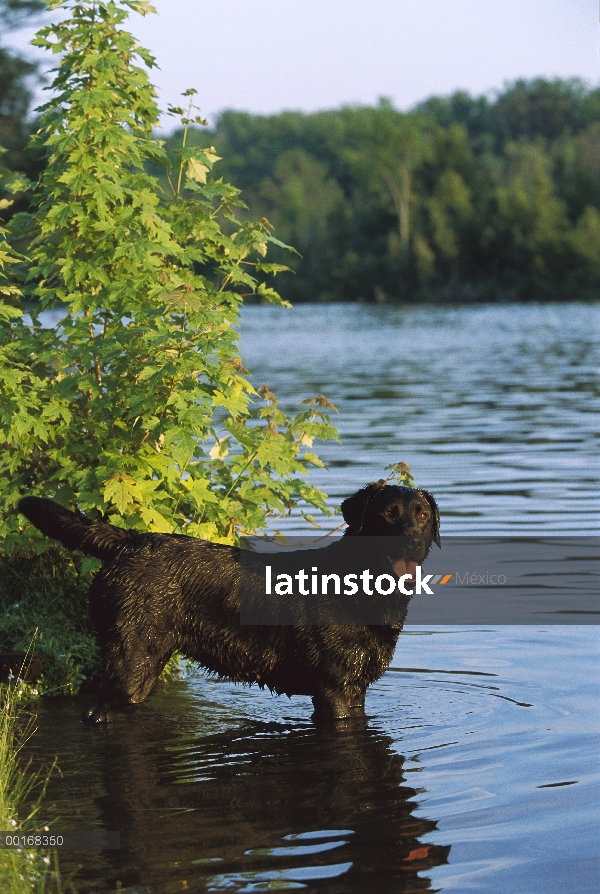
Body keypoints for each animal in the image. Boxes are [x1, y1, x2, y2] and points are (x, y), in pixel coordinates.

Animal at [17, 486, 440, 724]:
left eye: (422, 515)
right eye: (387, 513)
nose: (413, 540)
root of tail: (129, 540)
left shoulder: (355, 690)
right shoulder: (334, 689)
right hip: (130, 661)